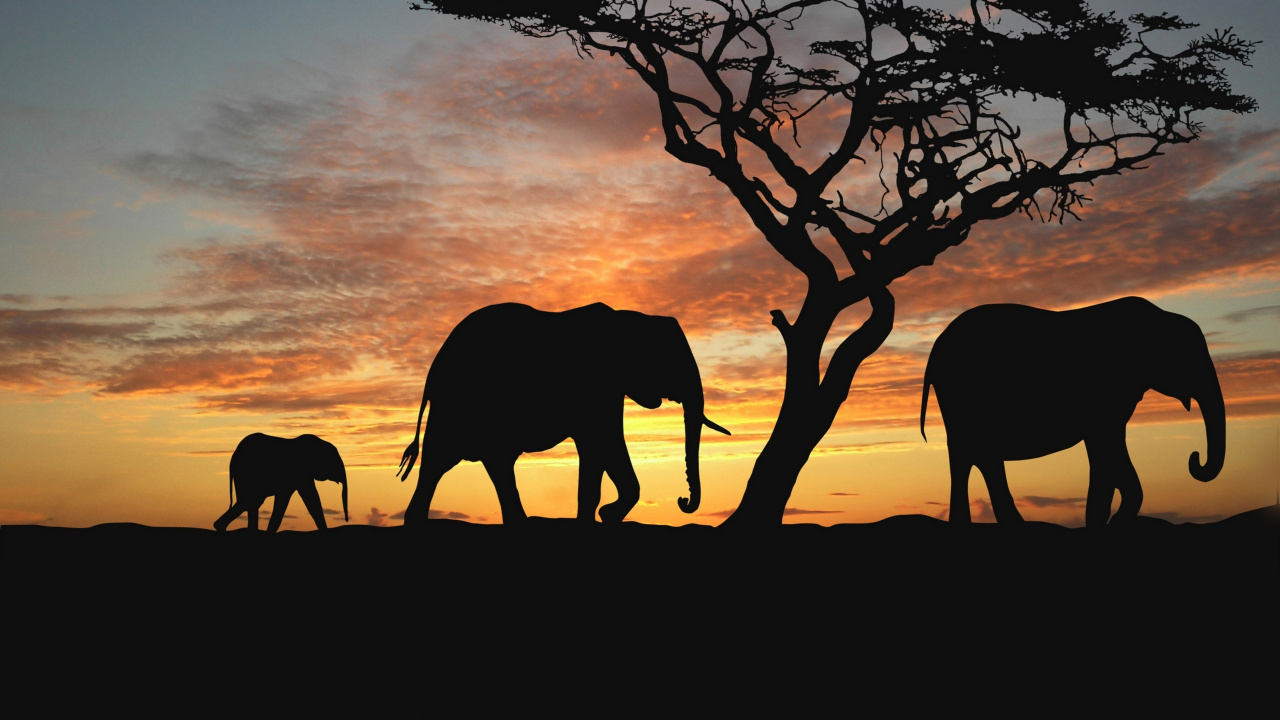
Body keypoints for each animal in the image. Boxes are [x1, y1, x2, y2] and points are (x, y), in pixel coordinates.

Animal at [213, 433, 349, 532]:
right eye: (334, 461)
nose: (347, 520)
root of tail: (233, 457)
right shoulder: (300, 474)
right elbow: (310, 499)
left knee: (250, 503)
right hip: (246, 476)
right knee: (249, 501)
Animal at [396, 302, 730, 524]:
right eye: (673, 362)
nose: (683, 500)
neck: (630, 318)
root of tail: (433, 370)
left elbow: (600, 449)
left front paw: (602, 517)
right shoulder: (598, 386)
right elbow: (603, 442)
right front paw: (604, 515)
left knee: (482, 463)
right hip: (458, 405)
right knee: (444, 461)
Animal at [919, 297, 1225, 527]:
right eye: (1190, 358)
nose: (1194, 458)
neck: (1159, 317)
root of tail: (935, 350)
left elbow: (1108, 452)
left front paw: (1108, 521)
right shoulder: (1105, 395)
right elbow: (1106, 449)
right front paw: (1107, 522)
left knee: (977, 456)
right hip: (962, 397)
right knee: (971, 454)